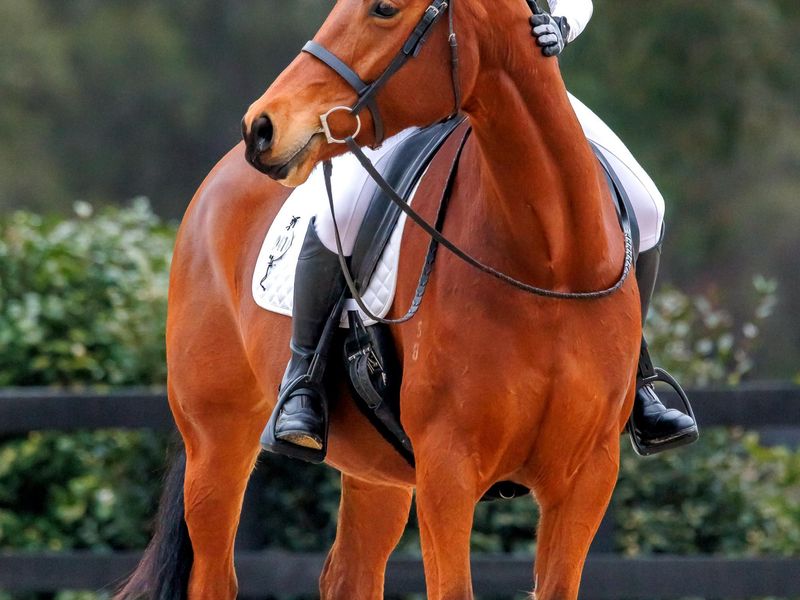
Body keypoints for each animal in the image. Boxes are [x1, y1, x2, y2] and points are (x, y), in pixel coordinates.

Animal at [117, 0, 641, 598]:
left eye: (384, 9)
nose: (261, 128)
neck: (549, 265)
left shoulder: (586, 479)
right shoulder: (447, 470)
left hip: (377, 473)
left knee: (351, 573)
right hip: (215, 441)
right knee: (214, 573)